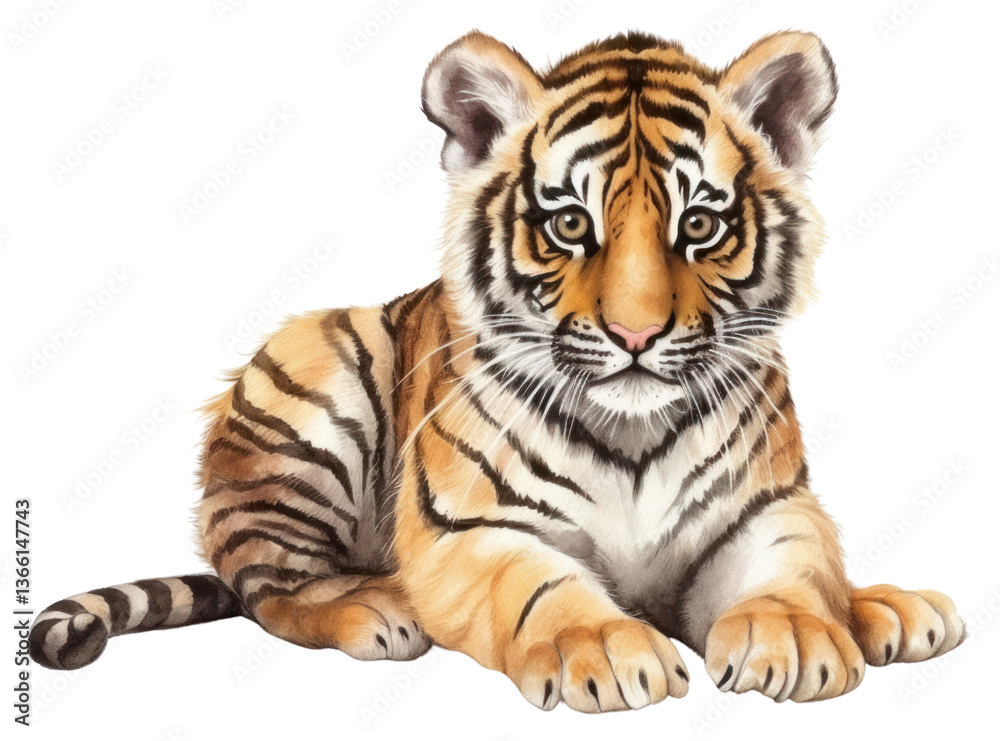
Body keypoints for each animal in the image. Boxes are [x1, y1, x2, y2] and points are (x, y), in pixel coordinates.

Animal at [29, 30, 964, 713]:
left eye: (698, 225)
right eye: (569, 223)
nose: (634, 333)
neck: (634, 428)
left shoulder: (767, 507)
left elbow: (791, 569)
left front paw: (798, 637)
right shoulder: (470, 526)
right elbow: (538, 583)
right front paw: (606, 648)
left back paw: (889, 607)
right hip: (314, 384)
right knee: (269, 583)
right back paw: (377, 606)